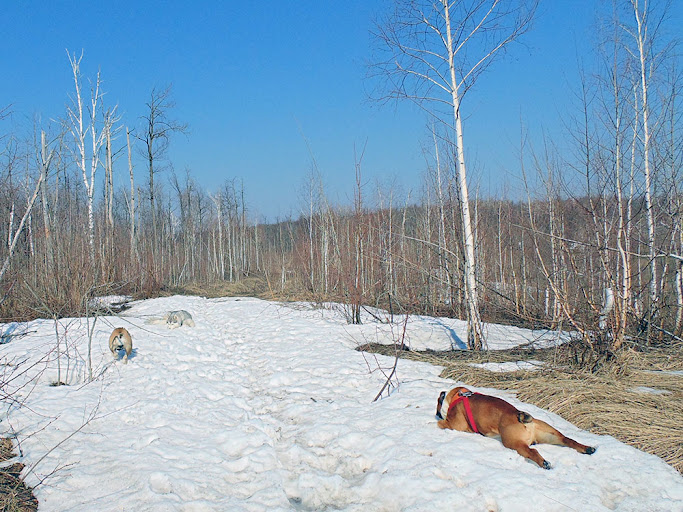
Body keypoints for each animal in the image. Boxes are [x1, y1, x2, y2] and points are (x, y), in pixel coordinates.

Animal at [436, 388, 596, 468]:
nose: (437, 413)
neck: (456, 396)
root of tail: (519, 414)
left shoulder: (455, 424)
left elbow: (442, 423)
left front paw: (437, 423)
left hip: (514, 443)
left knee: (532, 451)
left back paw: (544, 463)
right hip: (549, 434)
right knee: (567, 439)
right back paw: (587, 448)